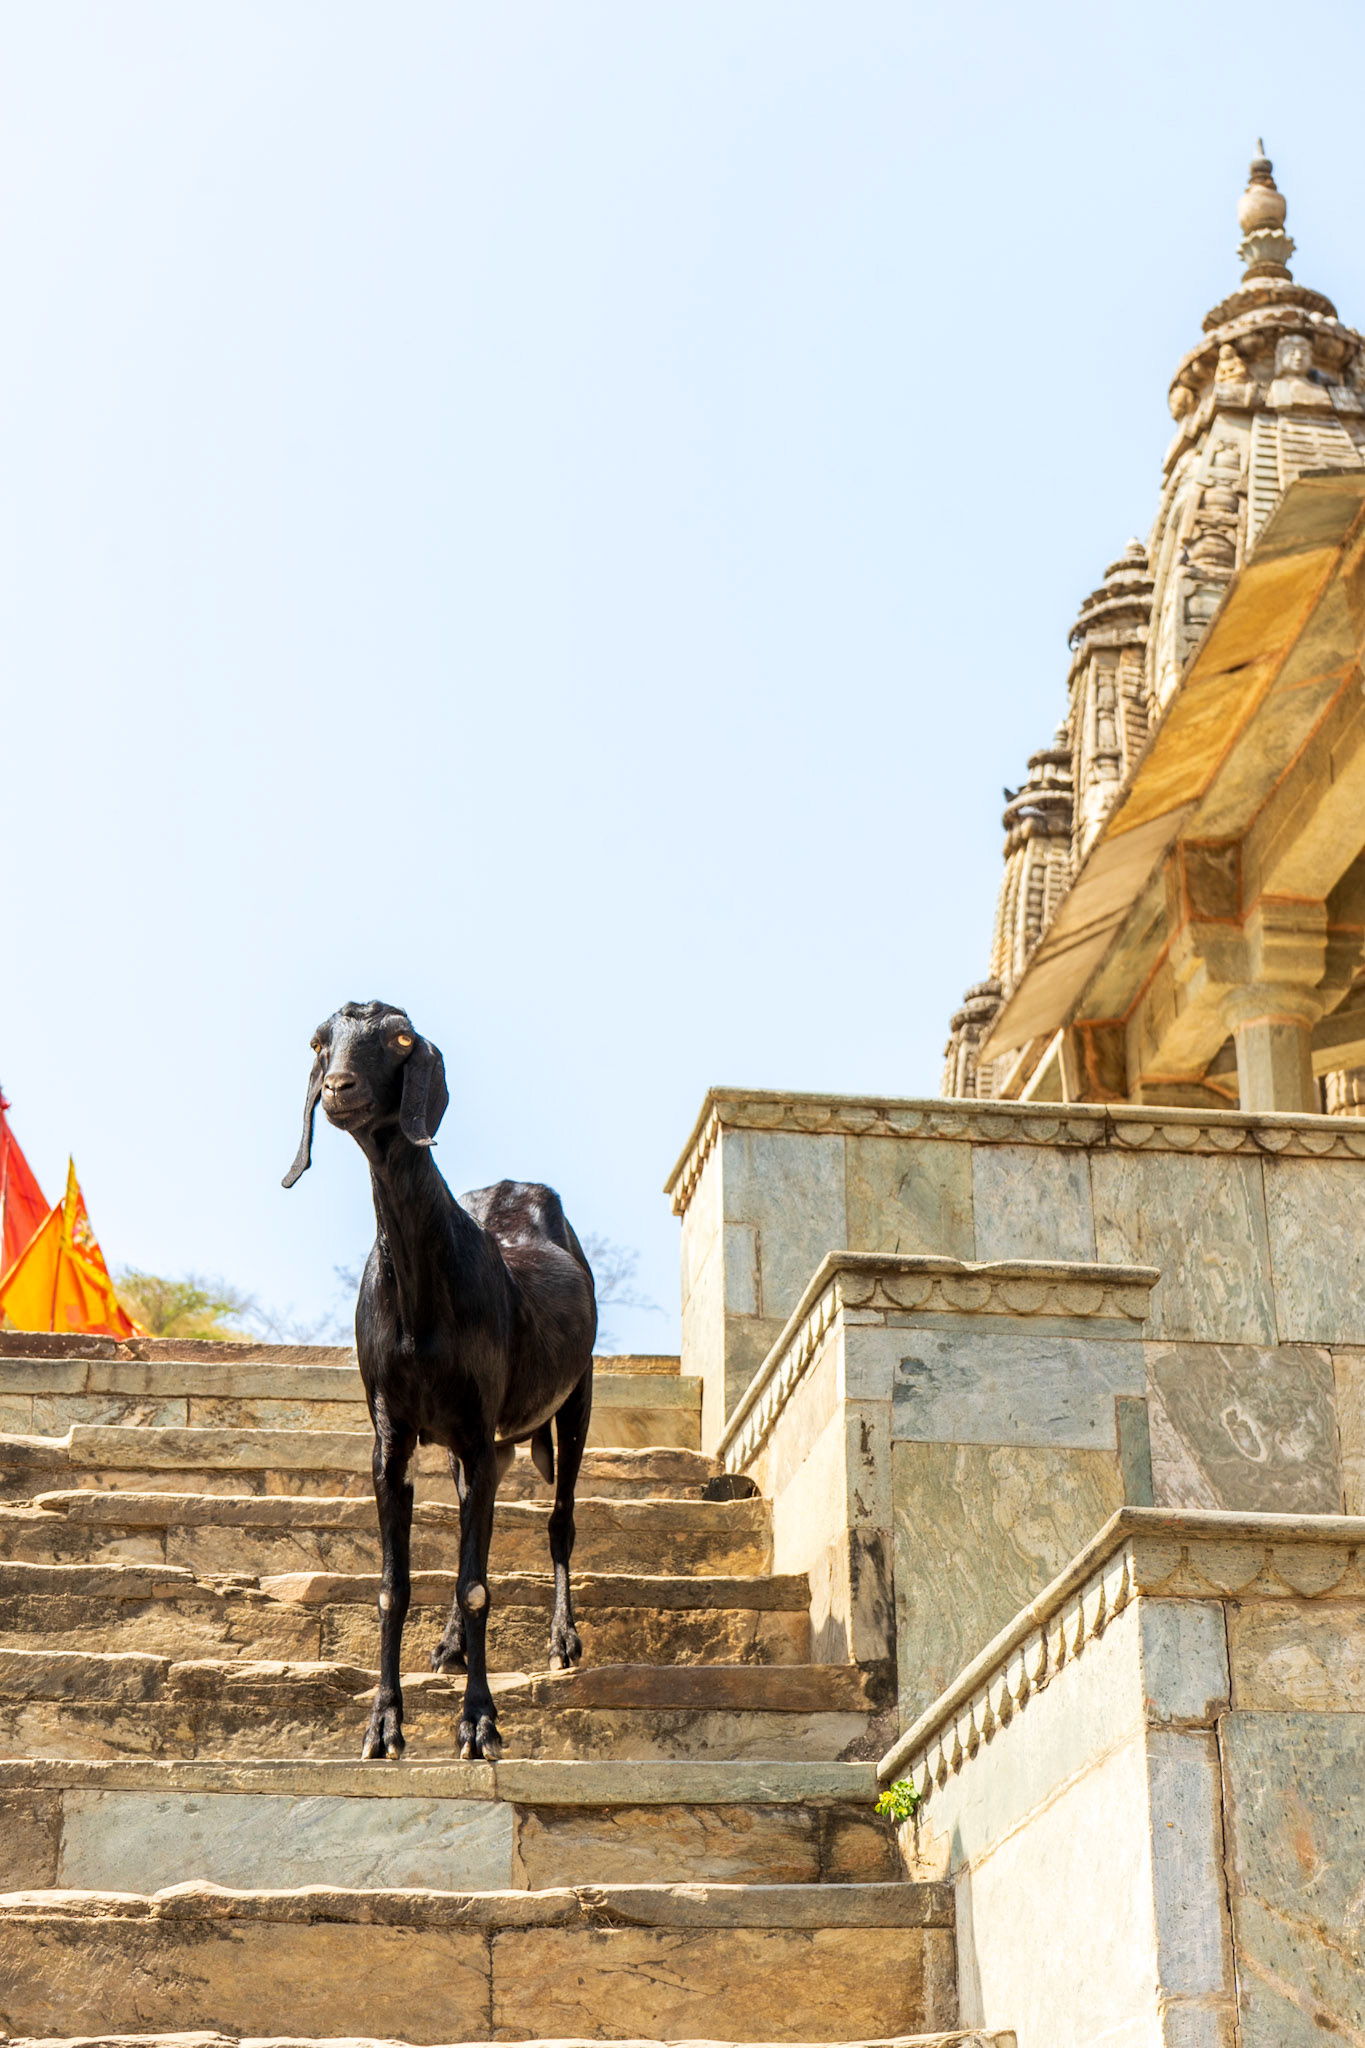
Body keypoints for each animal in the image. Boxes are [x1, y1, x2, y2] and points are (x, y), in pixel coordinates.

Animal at [282, 1002, 596, 1762]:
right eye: (318, 1042)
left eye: (400, 1038)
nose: (337, 1090)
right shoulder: (392, 1437)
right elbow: (394, 1587)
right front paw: (382, 1726)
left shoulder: (480, 1434)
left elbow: (478, 1582)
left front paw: (479, 1724)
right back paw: (452, 1646)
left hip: (576, 1398)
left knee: (560, 1520)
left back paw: (561, 1639)